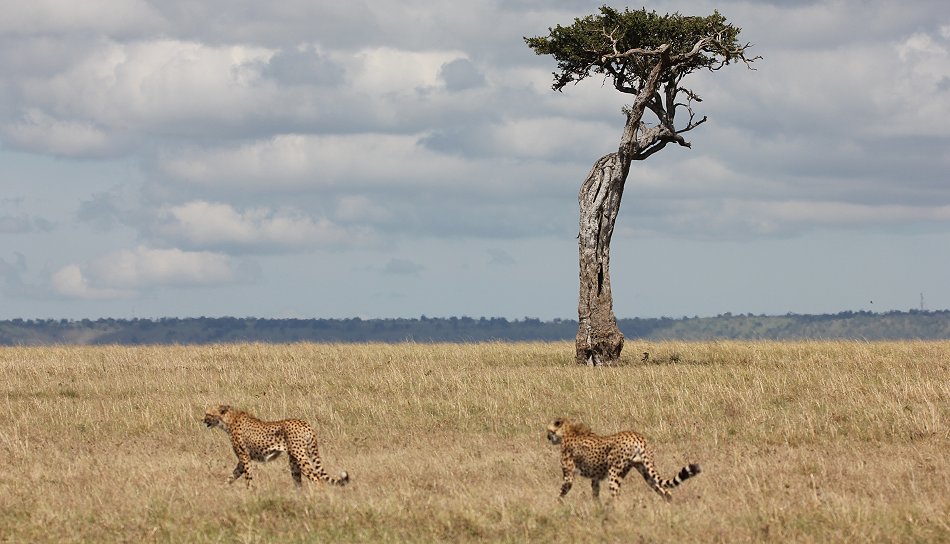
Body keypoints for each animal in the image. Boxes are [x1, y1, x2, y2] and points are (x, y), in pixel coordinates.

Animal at [204, 404, 350, 488]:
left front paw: (249, 492)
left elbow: (248, 477)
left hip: (300, 456)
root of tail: (306, 424)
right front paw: (223, 488)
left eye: (208, 414)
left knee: (317, 478)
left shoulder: (244, 457)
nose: (202, 420)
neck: (229, 420)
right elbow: (233, 475)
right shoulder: (243, 459)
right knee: (298, 481)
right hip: (294, 460)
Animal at [552, 420, 700, 502]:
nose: (548, 436)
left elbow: (564, 489)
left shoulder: (569, 475)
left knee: (616, 494)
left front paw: (556, 505)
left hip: (614, 472)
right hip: (643, 468)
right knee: (664, 489)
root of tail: (638, 437)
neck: (569, 431)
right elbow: (595, 492)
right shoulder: (595, 478)